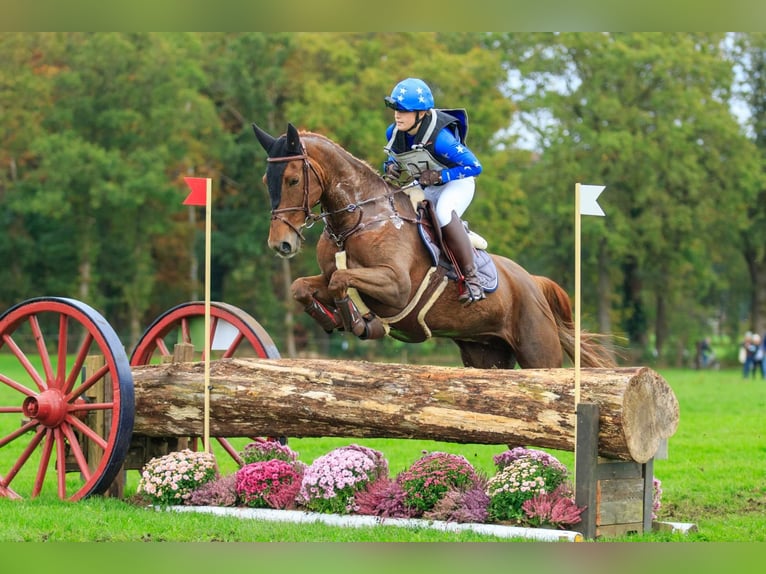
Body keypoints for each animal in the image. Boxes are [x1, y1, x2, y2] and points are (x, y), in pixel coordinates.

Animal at [255, 123, 616, 372]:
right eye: (265, 181)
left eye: (292, 180)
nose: (281, 243)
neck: (359, 219)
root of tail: (533, 282)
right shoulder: (330, 276)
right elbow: (304, 286)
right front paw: (332, 320)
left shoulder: (396, 286)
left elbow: (341, 281)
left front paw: (359, 321)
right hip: (486, 353)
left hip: (538, 352)